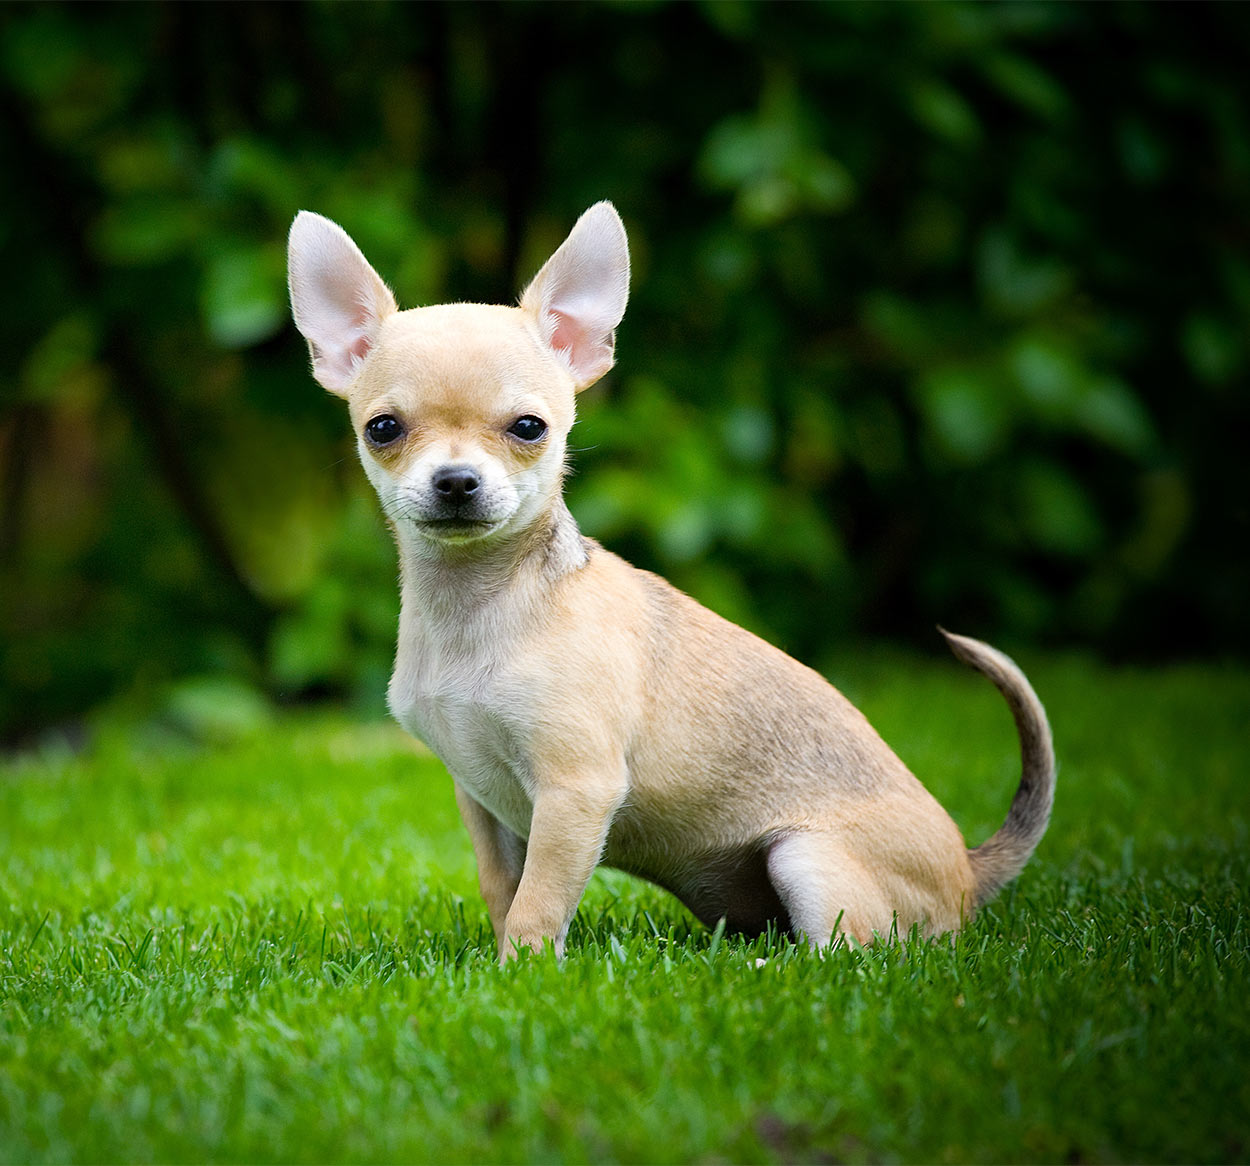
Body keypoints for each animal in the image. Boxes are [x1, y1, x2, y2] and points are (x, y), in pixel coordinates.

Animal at [286, 202, 1055, 964]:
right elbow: (505, 888)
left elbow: (540, 901)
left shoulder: (576, 791)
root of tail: (968, 868)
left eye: (529, 427)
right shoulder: (480, 799)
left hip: (806, 856)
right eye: (383, 429)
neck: (482, 601)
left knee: (853, 950)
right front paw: (500, 965)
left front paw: (524, 974)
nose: (455, 482)